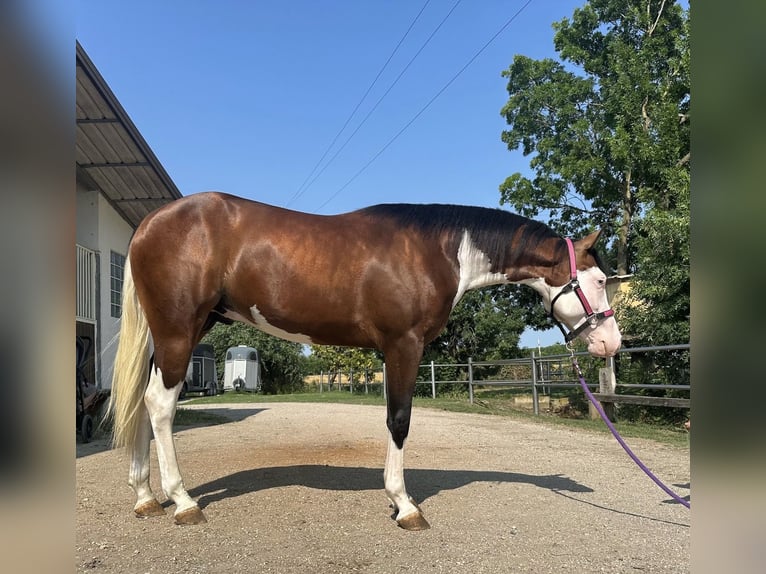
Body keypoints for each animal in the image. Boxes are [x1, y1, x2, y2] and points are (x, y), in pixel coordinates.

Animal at [108, 191, 621, 529]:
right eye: (598, 281)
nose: (610, 343)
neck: (439, 249)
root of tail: (150, 222)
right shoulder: (404, 345)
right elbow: (399, 420)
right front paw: (404, 505)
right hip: (179, 330)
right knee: (160, 405)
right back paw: (182, 501)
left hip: (179, 332)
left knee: (142, 401)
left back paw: (145, 496)